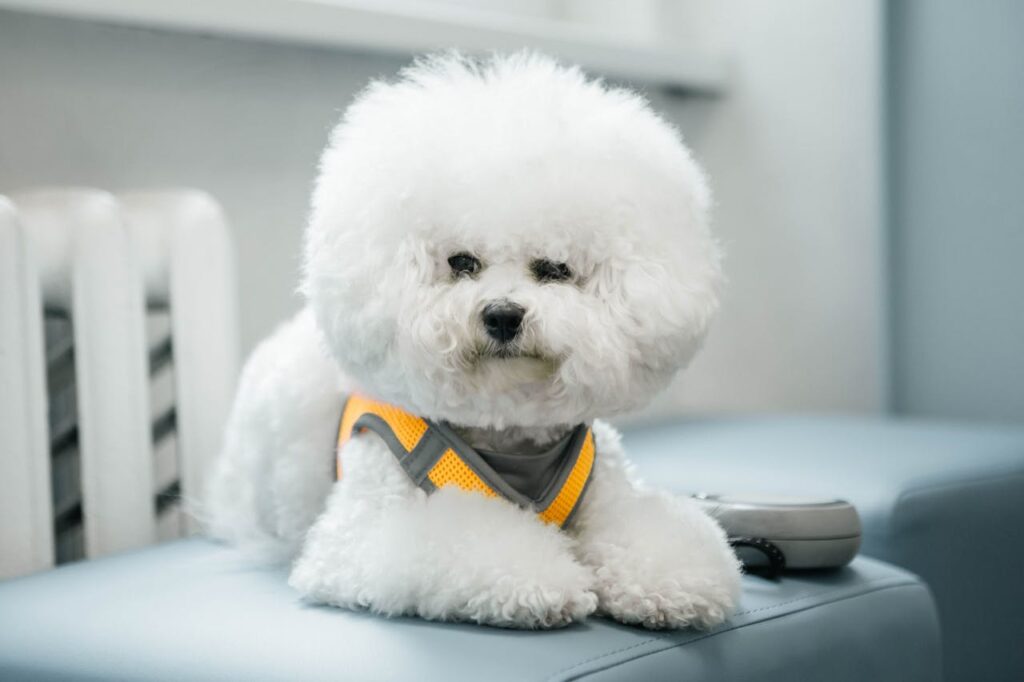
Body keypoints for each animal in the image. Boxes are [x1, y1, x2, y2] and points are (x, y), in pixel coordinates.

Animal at [203, 51, 741, 626]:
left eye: (554, 268)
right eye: (462, 263)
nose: (502, 316)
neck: (503, 430)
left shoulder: (607, 491)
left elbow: (646, 532)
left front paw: (673, 585)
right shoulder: (360, 537)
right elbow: (467, 541)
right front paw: (543, 581)